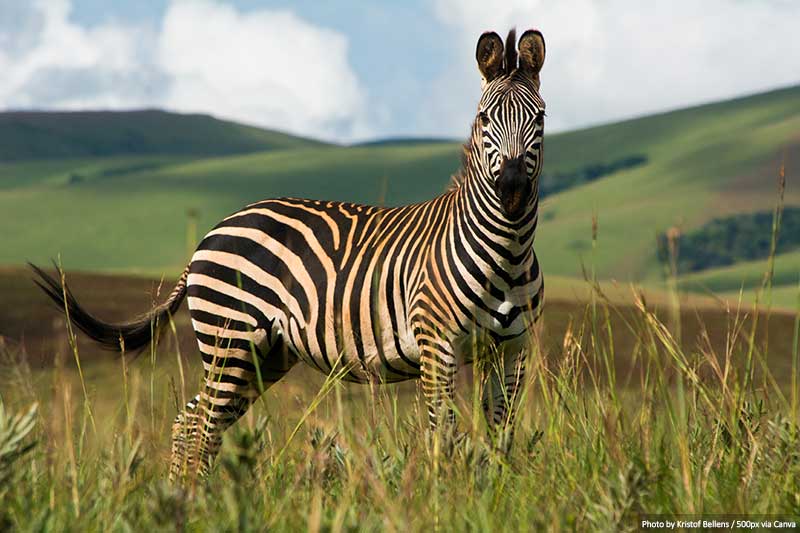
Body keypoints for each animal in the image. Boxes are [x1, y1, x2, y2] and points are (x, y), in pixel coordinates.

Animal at [31, 27, 544, 480]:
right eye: (484, 119)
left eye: (539, 118)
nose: (513, 190)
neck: (506, 253)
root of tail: (213, 232)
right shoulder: (438, 346)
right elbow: (442, 436)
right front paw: (440, 500)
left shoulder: (512, 353)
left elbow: (501, 438)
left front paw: (494, 497)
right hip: (230, 339)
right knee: (202, 427)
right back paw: (194, 504)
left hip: (264, 355)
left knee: (190, 422)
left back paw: (186, 496)